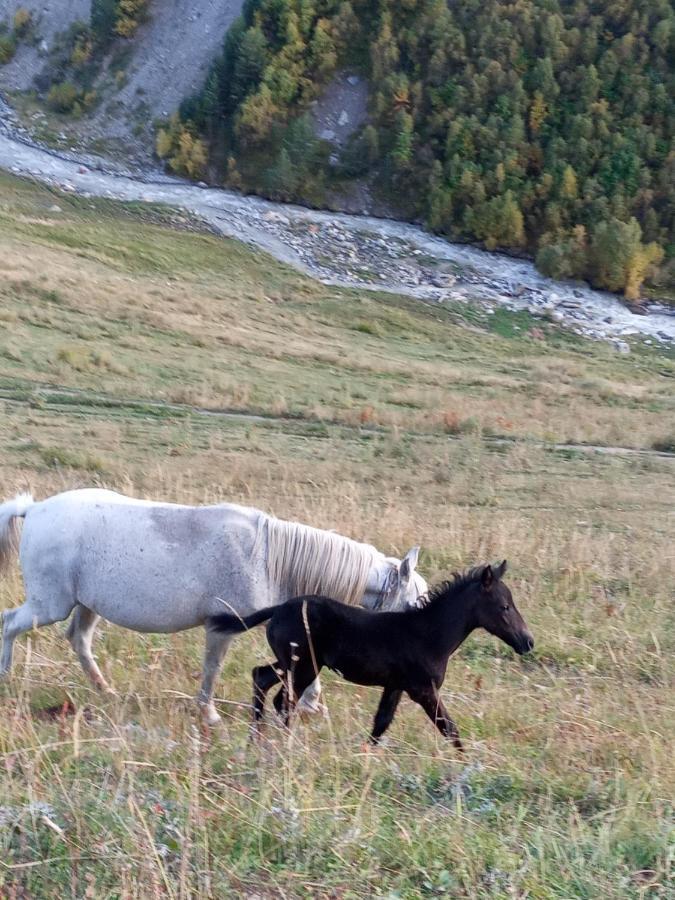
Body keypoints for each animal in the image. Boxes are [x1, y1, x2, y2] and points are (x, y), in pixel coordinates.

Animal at [0, 488, 426, 728]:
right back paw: (5, 681)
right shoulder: (221, 628)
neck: (267, 557)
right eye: (415, 604)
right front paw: (208, 714)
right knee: (9, 624)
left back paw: (106, 690)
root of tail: (34, 509)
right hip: (50, 604)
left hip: (86, 605)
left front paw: (312, 705)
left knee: (79, 640)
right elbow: (212, 669)